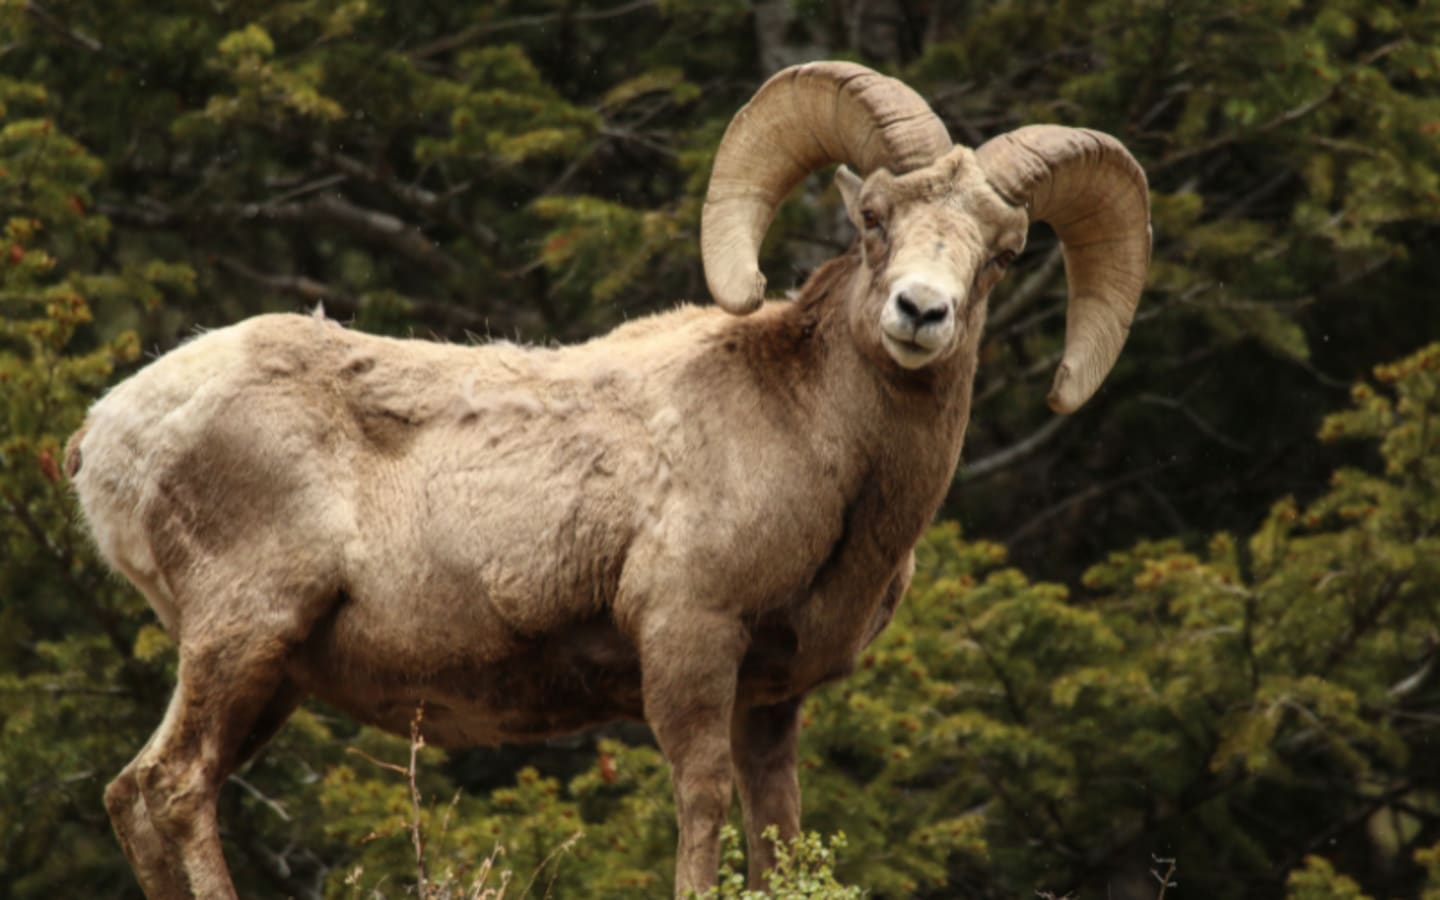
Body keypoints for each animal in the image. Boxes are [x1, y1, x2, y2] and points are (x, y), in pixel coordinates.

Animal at [67, 61, 1150, 898]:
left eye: (1003, 252)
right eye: (875, 219)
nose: (921, 313)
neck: (811, 444)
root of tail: (106, 435)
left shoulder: (773, 702)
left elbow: (778, 834)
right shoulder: (688, 643)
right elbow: (701, 806)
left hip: (271, 676)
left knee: (138, 795)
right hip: (244, 633)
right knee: (173, 787)